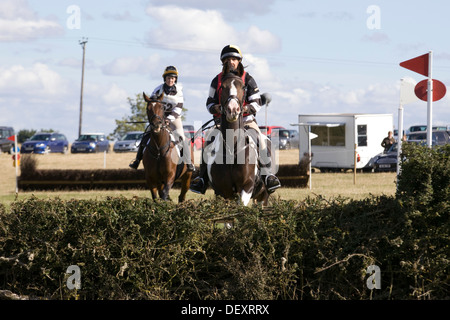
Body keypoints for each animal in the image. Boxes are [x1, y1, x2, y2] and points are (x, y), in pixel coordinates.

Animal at [207, 74, 268, 206]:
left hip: (263, 195)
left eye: (244, 87)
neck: (232, 148)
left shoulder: (247, 186)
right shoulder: (222, 191)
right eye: (222, 87)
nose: (232, 110)